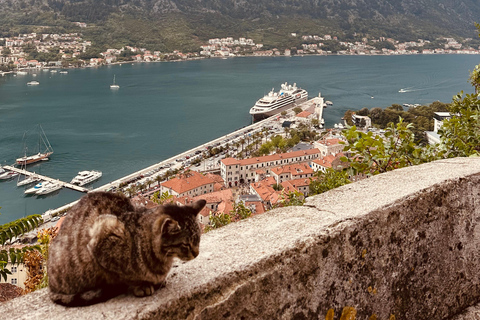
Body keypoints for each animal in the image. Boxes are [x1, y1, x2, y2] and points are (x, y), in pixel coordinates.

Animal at [47, 191, 205, 306]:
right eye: (185, 244)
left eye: (198, 239)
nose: (197, 253)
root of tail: (50, 286)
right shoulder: (102, 237)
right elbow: (125, 275)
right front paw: (141, 285)